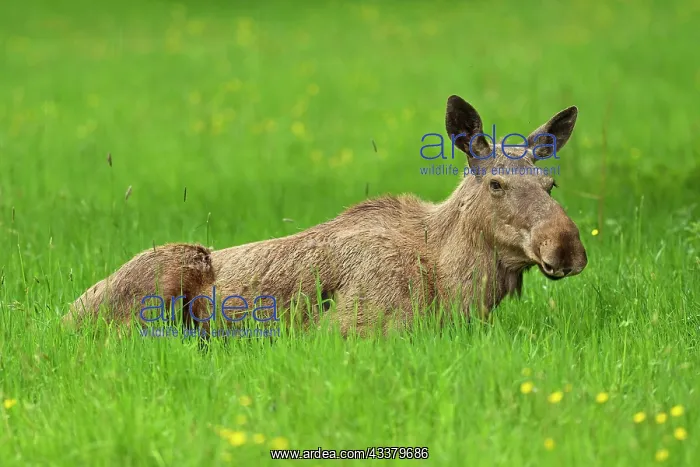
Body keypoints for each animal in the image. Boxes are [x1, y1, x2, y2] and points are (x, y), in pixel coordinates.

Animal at [63, 95, 588, 337]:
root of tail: (64, 316)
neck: (456, 283)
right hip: (168, 272)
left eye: (550, 184)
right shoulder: (354, 327)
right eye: (497, 183)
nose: (566, 247)